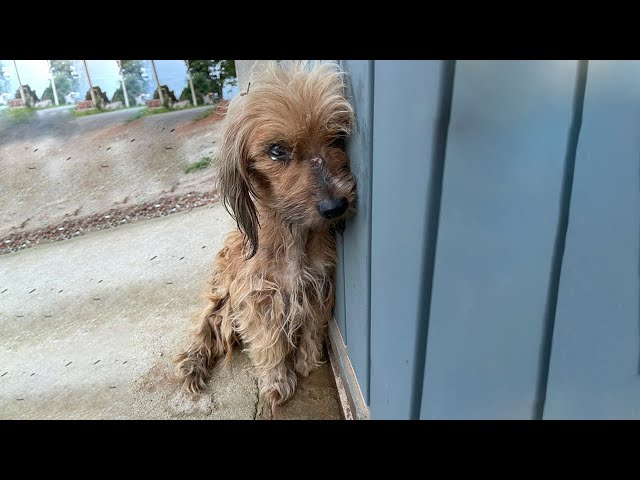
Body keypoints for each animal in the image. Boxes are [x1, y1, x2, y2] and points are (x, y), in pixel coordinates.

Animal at [172, 60, 358, 410]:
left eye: (337, 137)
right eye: (276, 150)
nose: (335, 207)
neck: (292, 234)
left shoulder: (317, 286)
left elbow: (311, 327)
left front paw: (306, 361)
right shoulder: (258, 298)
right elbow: (270, 343)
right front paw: (277, 381)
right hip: (221, 294)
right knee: (204, 327)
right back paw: (193, 362)